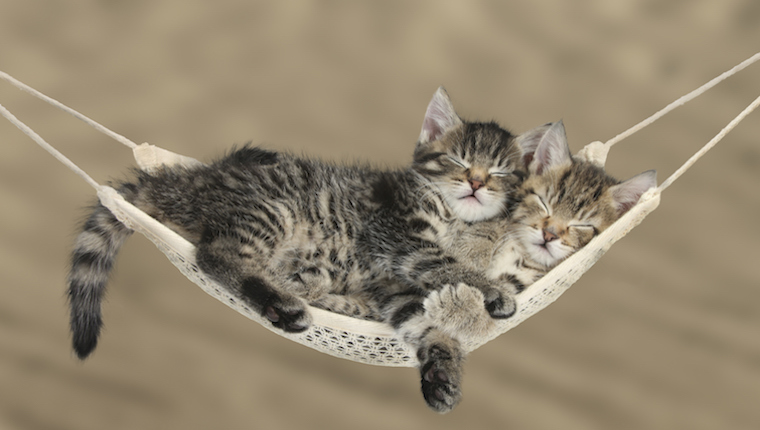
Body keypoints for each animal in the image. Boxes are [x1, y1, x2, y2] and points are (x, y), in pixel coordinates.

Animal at [65, 87, 528, 410]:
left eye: (502, 172)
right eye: (458, 160)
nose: (476, 183)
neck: (453, 218)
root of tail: (195, 182)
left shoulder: (394, 290)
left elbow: (426, 325)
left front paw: (442, 371)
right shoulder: (397, 236)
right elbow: (443, 262)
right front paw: (494, 291)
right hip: (275, 210)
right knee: (216, 253)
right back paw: (283, 304)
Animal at [388, 121, 656, 414]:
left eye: (582, 225)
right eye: (544, 203)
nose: (550, 234)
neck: (522, 250)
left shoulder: (525, 282)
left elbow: (497, 308)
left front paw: (456, 305)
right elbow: (484, 231)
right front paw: (469, 254)